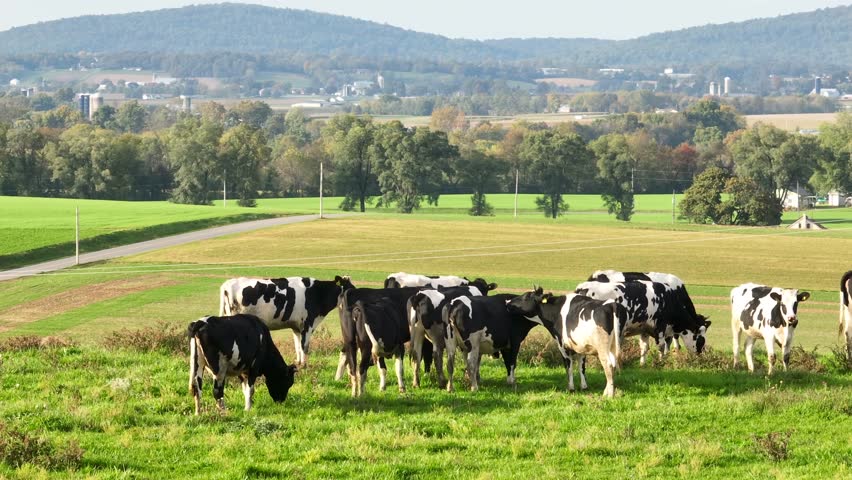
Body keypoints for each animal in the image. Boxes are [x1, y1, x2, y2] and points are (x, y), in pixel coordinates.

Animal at [219, 275, 354, 368]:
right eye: (351, 289)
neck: (317, 293)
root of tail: (227, 284)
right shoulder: (307, 324)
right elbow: (304, 346)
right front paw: (305, 365)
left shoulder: (296, 327)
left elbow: (297, 345)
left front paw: (299, 363)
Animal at [575, 280, 710, 365]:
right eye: (700, 340)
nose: (700, 355)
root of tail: (582, 287)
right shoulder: (660, 327)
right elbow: (661, 346)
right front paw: (661, 362)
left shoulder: (644, 328)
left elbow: (644, 347)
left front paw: (642, 364)